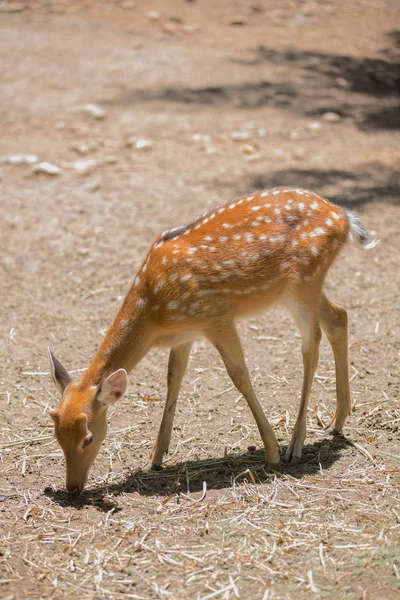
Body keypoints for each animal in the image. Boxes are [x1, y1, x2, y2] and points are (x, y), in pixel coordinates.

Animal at [48, 186, 376, 492]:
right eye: (56, 433)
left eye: (88, 437)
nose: (73, 488)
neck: (154, 315)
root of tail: (343, 218)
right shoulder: (185, 334)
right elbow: (173, 378)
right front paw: (155, 458)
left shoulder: (217, 317)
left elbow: (239, 376)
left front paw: (271, 452)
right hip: (303, 289)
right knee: (339, 317)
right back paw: (336, 422)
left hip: (302, 284)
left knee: (311, 345)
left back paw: (295, 445)